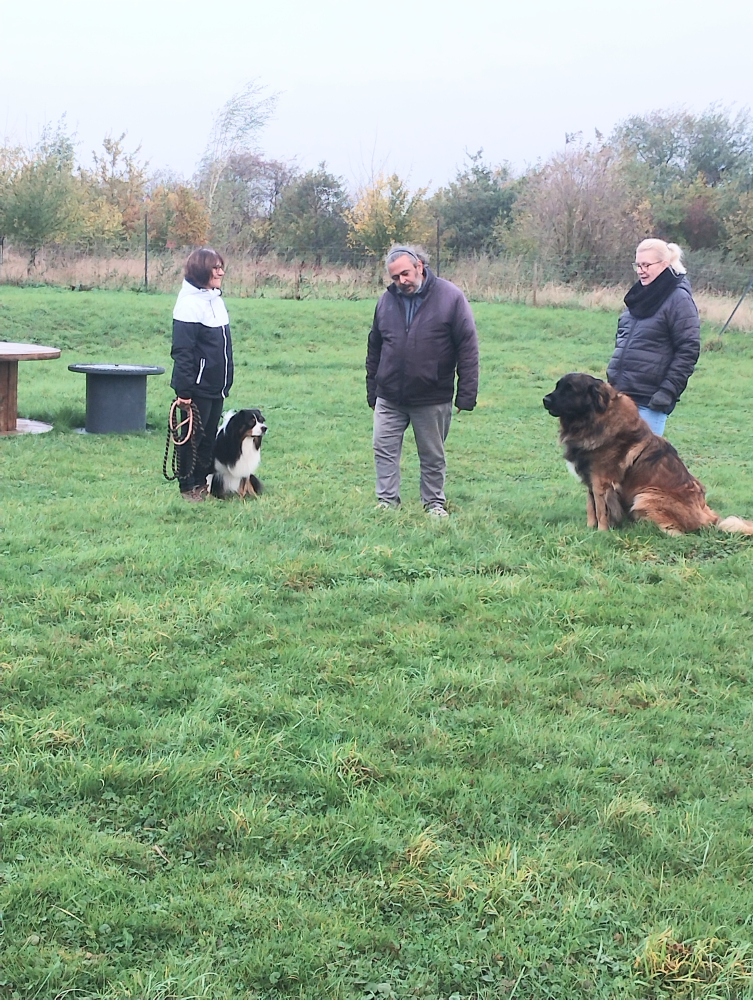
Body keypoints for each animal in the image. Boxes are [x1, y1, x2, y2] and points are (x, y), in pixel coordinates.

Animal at [543, 373, 753, 535]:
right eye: (558, 387)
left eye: (570, 390)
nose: (545, 400)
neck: (592, 421)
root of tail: (709, 517)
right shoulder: (590, 481)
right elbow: (591, 508)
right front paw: (589, 529)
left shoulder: (602, 482)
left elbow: (602, 511)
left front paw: (601, 532)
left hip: (645, 496)